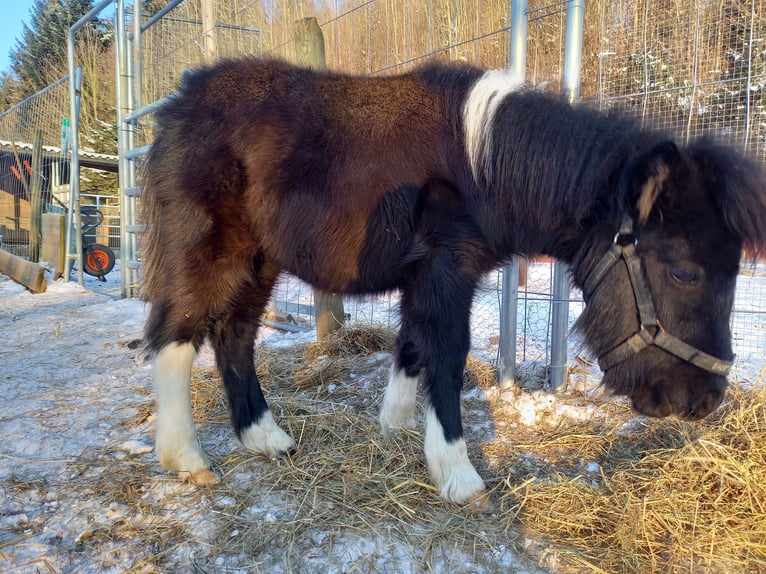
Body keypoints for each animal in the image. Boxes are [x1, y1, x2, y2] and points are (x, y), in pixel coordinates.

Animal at [141, 57, 766, 506]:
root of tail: (178, 105)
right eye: (685, 270)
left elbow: (412, 348)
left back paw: (265, 438)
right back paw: (187, 459)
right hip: (209, 253)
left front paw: (395, 432)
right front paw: (458, 475)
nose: (705, 400)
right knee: (177, 337)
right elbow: (446, 358)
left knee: (236, 337)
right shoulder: (447, 272)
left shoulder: (424, 278)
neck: (482, 166)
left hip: (261, 261)